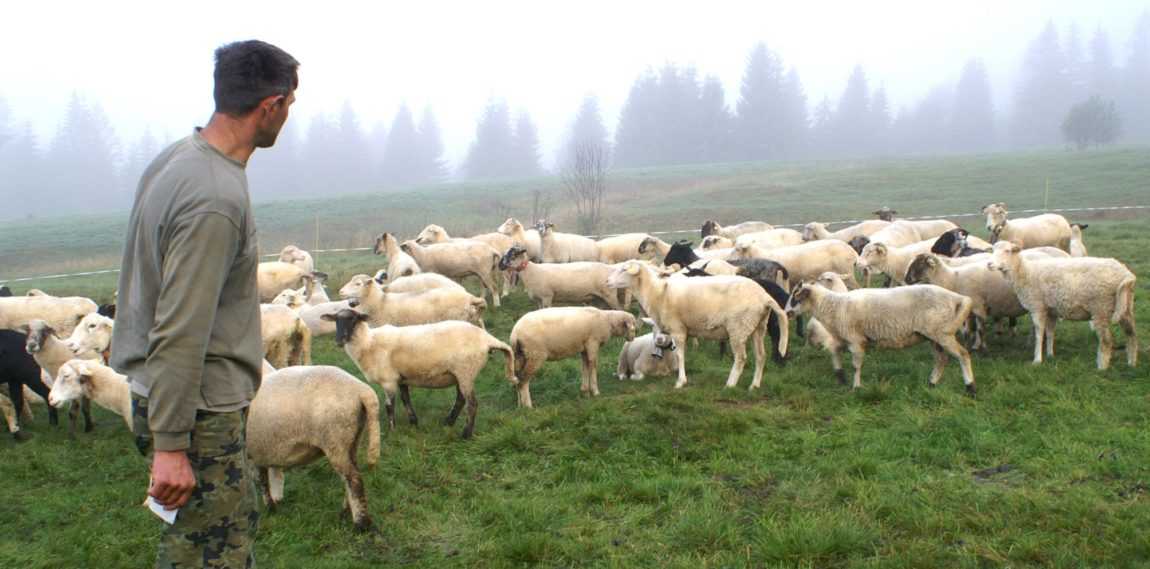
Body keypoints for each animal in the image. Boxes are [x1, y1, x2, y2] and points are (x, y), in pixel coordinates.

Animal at [247, 367, 381, 533]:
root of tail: (362, 390)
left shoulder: (254, 452)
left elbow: (261, 480)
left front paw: (270, 507)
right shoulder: (261, 451)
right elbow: (265, 477)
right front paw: (273, 504)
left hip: (335, 439)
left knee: (354, 479)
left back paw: (361, 524)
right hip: (351, 439)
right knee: (350, 478)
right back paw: (345, 513)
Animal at [326, 310, 519, 439]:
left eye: (353, 318)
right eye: (335, 320)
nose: (339, 340)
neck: (368, 343)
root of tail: (487, 339)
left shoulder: (389, 380)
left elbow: (389, 406)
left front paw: (392, 430)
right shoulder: (401, 378)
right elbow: (406, 399)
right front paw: (413, 422)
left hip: (466, 371)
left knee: (472, 403)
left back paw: (466, 433)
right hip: (460, 374)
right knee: (461, 399)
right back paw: (448, 422)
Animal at [607, 262, 786, 390]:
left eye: (623, 269)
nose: (607, 281)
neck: (657, 292)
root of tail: (764, 296)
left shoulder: (678, 329)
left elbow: (680, 355)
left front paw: (681, 382)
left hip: (738, 328)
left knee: (741, 358)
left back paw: (730, 384)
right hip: (758, 326)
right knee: (761, 356)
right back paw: (754, 385)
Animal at [782, 281, 979, 395]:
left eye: (796, 297)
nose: (787, 313)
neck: (833, 306)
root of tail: (957, 298)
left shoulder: (856, 340)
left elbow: (856, 366)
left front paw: (856, 387)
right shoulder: (842, 338)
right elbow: (834, 353)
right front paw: (840, 376)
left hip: (942, 333)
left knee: (962, 355)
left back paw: (970, 387)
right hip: (933, 336)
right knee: (941, 360)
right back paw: (931, 383)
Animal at [984, 240, 1136, 370]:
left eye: (1007, 251)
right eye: (993, 250)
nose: (989, 264)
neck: (1024, 272)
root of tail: (1126, 274)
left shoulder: (1037, 306)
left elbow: (1039, 333)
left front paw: (1037, 360)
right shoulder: (1052, 310)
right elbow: (1050, 332)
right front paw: (1050, 355)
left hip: (1101, 308)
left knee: (1106, 340)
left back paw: (1102, 367)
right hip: (1125, 306)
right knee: (1131, 334)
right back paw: (1131, 363)